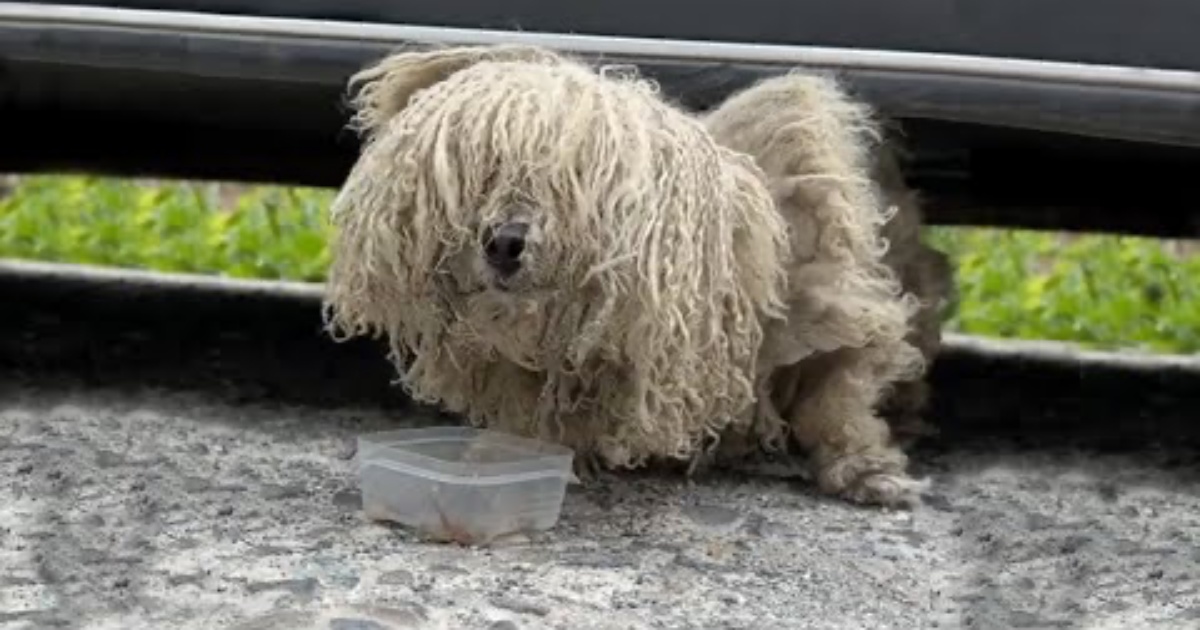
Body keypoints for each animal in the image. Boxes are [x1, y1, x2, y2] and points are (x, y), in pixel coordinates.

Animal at [324, 42, 950, 506]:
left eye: (573, 183)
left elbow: (837, 393)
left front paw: (867, 469)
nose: (503, 243)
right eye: (486, 171)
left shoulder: (828, 296)